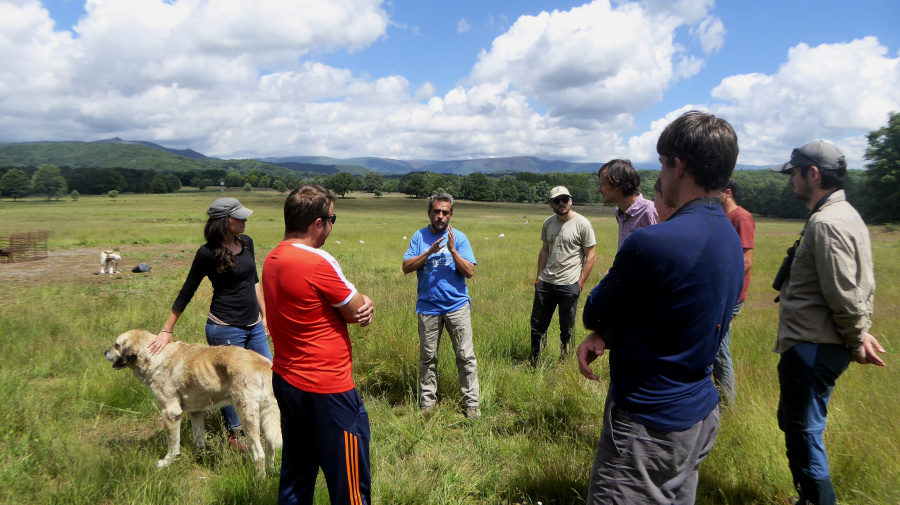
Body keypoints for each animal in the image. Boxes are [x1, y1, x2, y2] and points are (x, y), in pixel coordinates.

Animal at [104, 326, 282, 472]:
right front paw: (199, 456)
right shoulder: (196, 411)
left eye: (116, 345)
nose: (104, 352)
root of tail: (262, 364)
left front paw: (168, 461)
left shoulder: (170, 412)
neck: (154, 356)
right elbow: (198, 439)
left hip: (247, 416)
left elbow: (172, 443)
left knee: (259, 455)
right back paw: (272, 472)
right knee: (271, 447)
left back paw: (259, 481)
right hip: (268, 416)